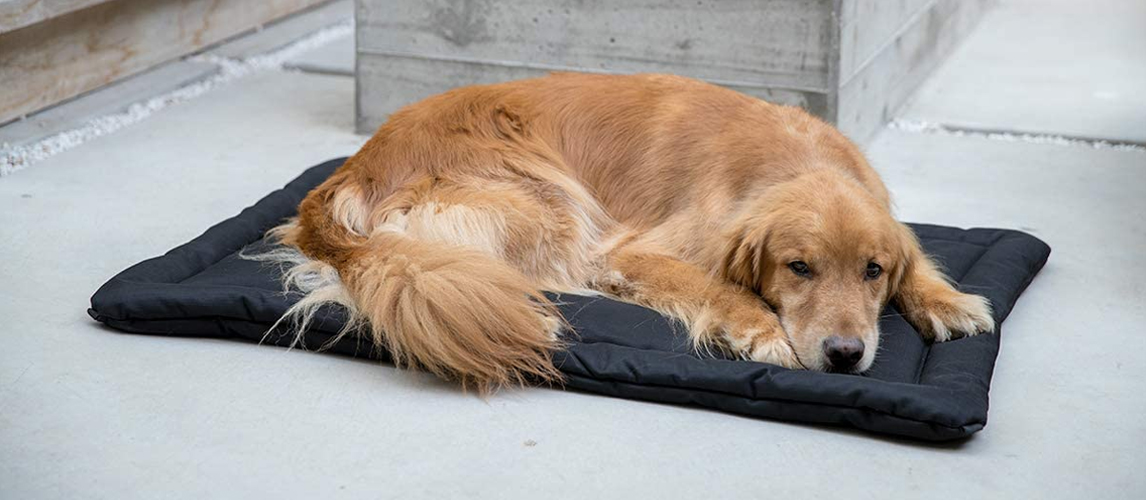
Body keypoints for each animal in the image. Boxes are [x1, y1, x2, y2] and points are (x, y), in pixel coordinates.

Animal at [262, 72, 994, 389]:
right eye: (798, 268)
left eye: (874, 272)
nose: (845, 355)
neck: (796, 160)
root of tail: (358, 162)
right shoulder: (635, 252)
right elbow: (717, 286)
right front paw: (756, 327)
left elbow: (919, 256)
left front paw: (945, 299)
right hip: (550, 202)